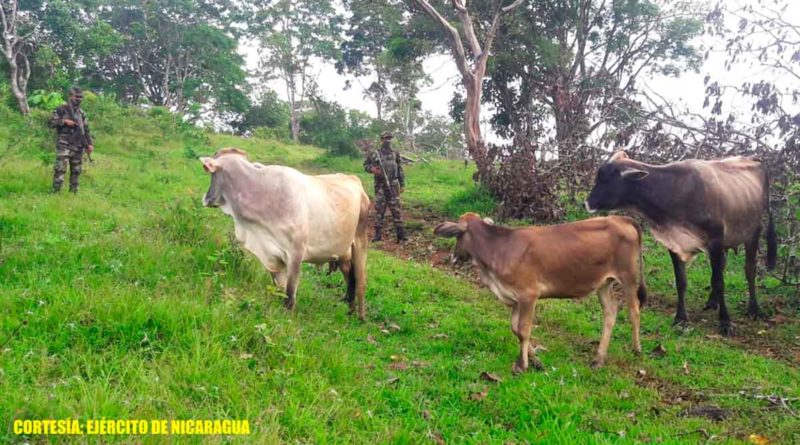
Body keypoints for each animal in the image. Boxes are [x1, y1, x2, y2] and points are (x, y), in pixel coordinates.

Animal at [203, 147, 372, 318]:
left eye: (210, 173)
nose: (206, 197)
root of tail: (354, 179)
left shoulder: (295, 254)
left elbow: (290, 295)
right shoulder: (272, 257)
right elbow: (280, 290)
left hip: (360, 241)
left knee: (360, 282)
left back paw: (361, 316)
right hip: (344, 254)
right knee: (350, 278)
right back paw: (350, 310)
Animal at [434, 213, 648, 372]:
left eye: (457, 235)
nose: (453, 258)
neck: (498, 251)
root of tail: (621, 218)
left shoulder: (528, 295)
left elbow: (523, 329)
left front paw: (522, 365)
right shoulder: (515, 299)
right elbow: (515, 328)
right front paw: (535, 360)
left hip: (628, 276)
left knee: (634, 309)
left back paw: (637, 348)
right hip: (604, 283)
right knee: (610, 311)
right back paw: (599, 358)